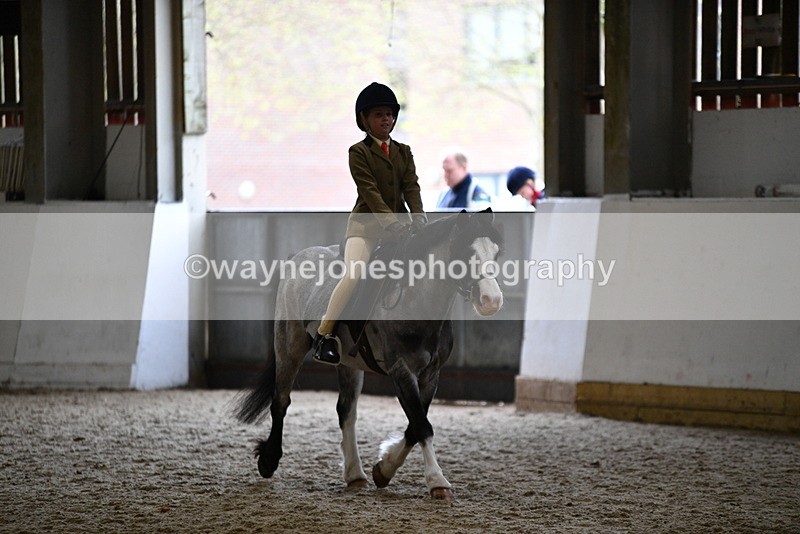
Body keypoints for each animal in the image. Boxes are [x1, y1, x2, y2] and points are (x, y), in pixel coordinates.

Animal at [234, 207, 504, 500]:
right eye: (466, 251)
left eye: (496, 253)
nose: (492, 301)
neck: (416, 298)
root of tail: (296, 257)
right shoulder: (401, 370)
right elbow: (421, 425)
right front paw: (437, 481)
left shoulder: (431, 375)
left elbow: (415, 424)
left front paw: (384, 469)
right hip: (289, 344)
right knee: (281, 401)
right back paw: (269, 461)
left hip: (348, 363)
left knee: (346, 411)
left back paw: (355, 475)